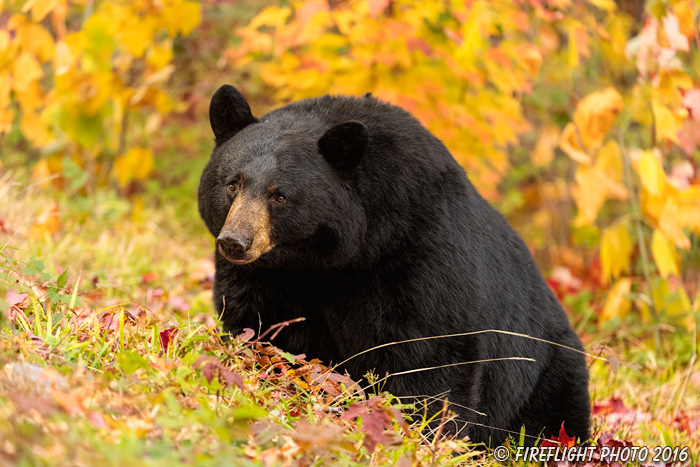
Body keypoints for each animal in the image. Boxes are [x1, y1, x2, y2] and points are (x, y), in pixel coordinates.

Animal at [197, 84, 592, 446]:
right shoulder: (271, 274)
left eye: (279, 196)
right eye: (232, 184)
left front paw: (422, 433)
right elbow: (255, 319)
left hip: (545, 372)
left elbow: (430, 349)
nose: (235, 241)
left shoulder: (418, 252)